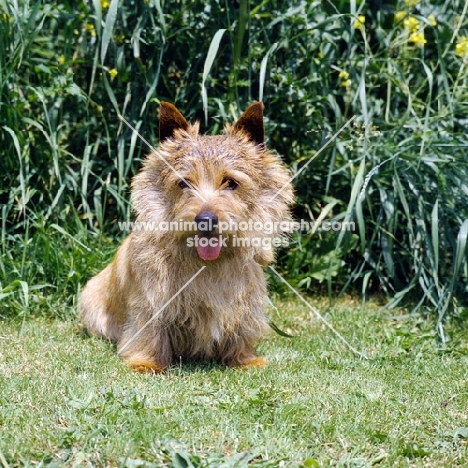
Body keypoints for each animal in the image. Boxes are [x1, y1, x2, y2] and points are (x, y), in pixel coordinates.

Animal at [79, 102, 294, 372]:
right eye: (184, 183)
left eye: (231, 183)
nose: (206, 220)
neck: (207, 264)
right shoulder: (151, 299)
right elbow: (150, 329)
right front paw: (146, 362)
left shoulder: (244, 298)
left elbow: (239, 325)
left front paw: (244, 359)